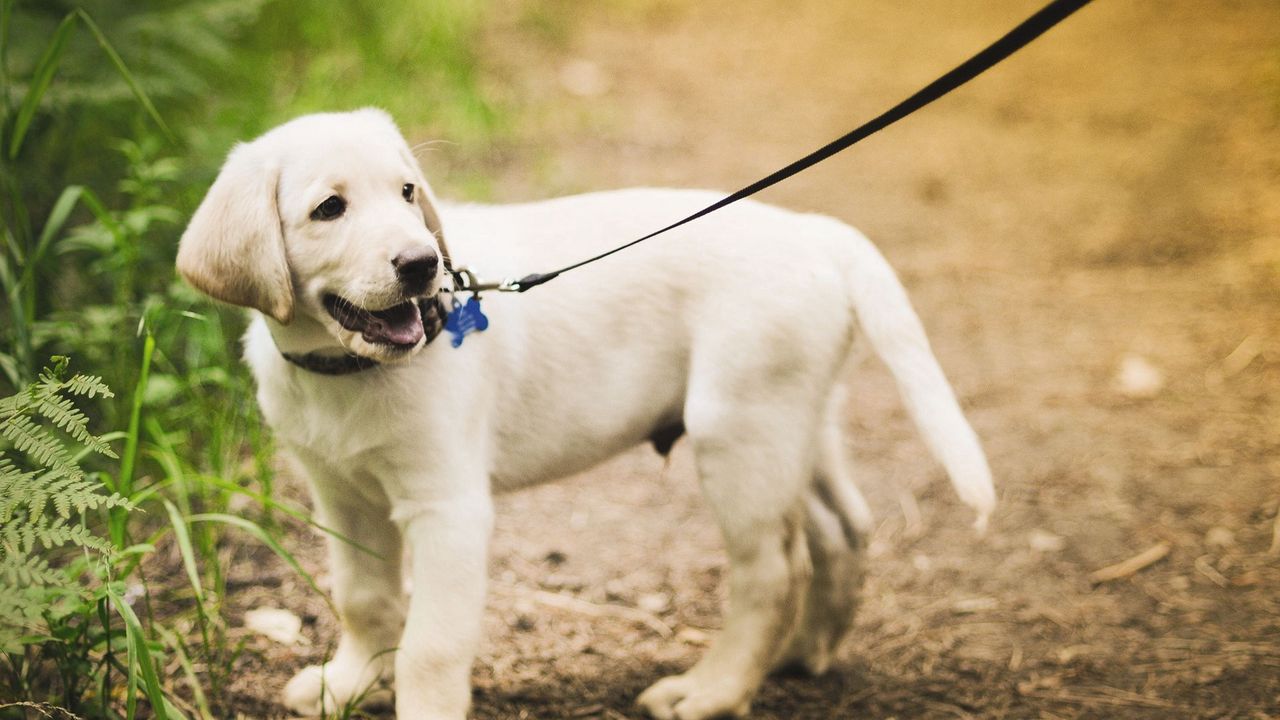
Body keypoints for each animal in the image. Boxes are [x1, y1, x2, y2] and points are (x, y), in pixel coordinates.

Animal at [180, 107, 993, 717]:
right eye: (330, 209)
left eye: (408, 191)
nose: (422, 265)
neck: (347, 373)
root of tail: (810, 228)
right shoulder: (341, 493)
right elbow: (364, 598)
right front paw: (348, 686)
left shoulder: (447, 508)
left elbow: (433, 644)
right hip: (796, 419)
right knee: (841, 528)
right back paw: (801, 655)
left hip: (741, 433)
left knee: (771, 571)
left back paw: (712, 691)